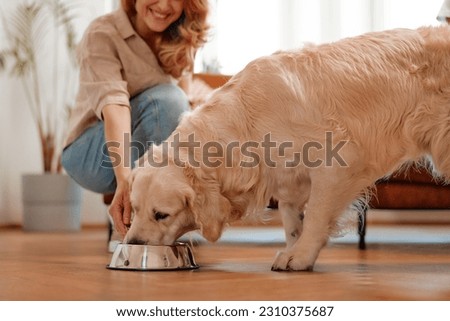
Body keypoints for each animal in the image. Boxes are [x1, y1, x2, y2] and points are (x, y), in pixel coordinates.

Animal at [124, 26, 450, 270]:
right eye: (134, 209)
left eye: (161, 215)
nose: (132, 245)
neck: (247, 121)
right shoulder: (288, 178)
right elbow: (293, 219)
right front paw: (295, 247)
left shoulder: (336, 163)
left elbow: (316, 214)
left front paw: (301, 256)